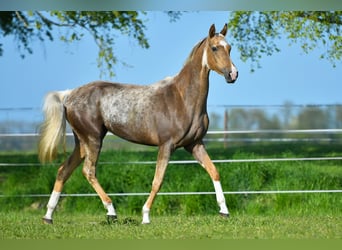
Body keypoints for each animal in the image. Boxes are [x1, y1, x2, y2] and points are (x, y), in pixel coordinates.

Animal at [38, 24, 238, 225]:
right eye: (214, 48)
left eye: (229, 47)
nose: (233, 74)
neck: (183, 99)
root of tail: (68, 95)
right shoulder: (167, 145)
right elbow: (158, 181)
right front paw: (145, 216)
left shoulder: (194, 144)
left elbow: (214, 171)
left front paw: (224, 211)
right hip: (93, 140)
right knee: (88, 171)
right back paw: (111, 211)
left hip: (82, 142)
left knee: (63, 171)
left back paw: (48, 216)